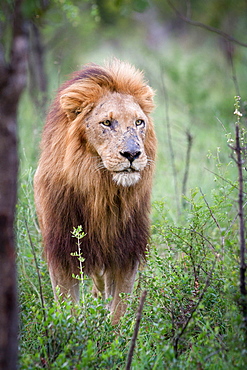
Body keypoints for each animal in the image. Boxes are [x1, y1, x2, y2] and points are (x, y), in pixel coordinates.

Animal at [34, 58, 156, 324]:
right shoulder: (62, 251)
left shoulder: (125, 253)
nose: (132, 154)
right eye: (107, 123)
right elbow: (68, 309)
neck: (101, 189)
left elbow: (119, 311)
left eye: (139, 122)